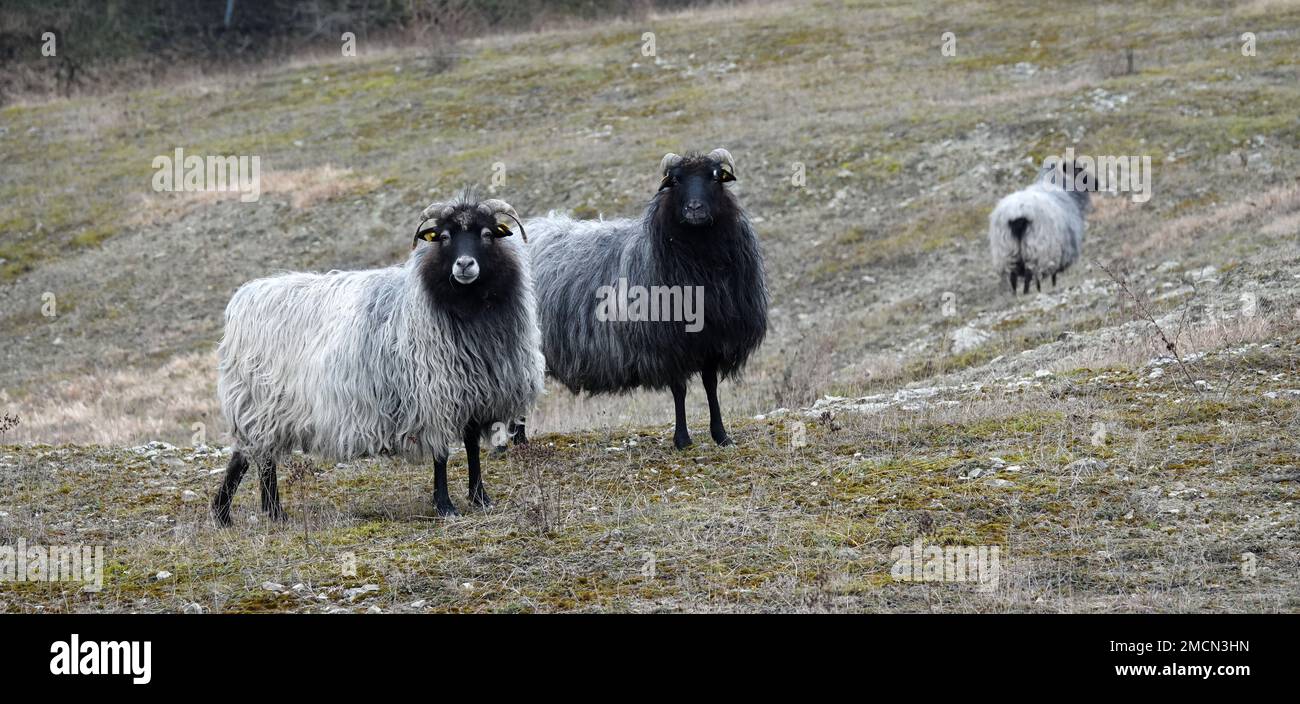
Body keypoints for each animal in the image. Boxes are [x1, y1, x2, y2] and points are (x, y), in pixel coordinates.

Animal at [211, 193, 543, 524]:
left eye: (487, 234)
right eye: (444, 237)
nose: (464, 264)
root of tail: (245, 298)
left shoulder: (475, 393)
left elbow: (472, 447)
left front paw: (479, 498)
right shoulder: (433, 396)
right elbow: (441, 455)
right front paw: (445, 505)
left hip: (265, 406)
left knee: (252, 455)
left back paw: (255, 512)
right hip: (260, 403)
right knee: (254, 456)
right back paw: (243, 512)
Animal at [517, 149, 764, 452]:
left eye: (715, 177)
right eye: (675, 180)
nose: (694, 208)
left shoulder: (712, 339)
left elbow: (710, 385)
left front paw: (721, 435)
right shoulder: (667, 341)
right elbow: (680, 389)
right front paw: (682, 439)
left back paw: (519, 439)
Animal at [987, 161, 1092, 293]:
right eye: (1078, 170)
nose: (1096, 183)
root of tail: (1017, 213)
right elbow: (1054, 279)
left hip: (1006, 252)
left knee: (1014, 279)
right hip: (1039, 251)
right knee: (1032, 276)